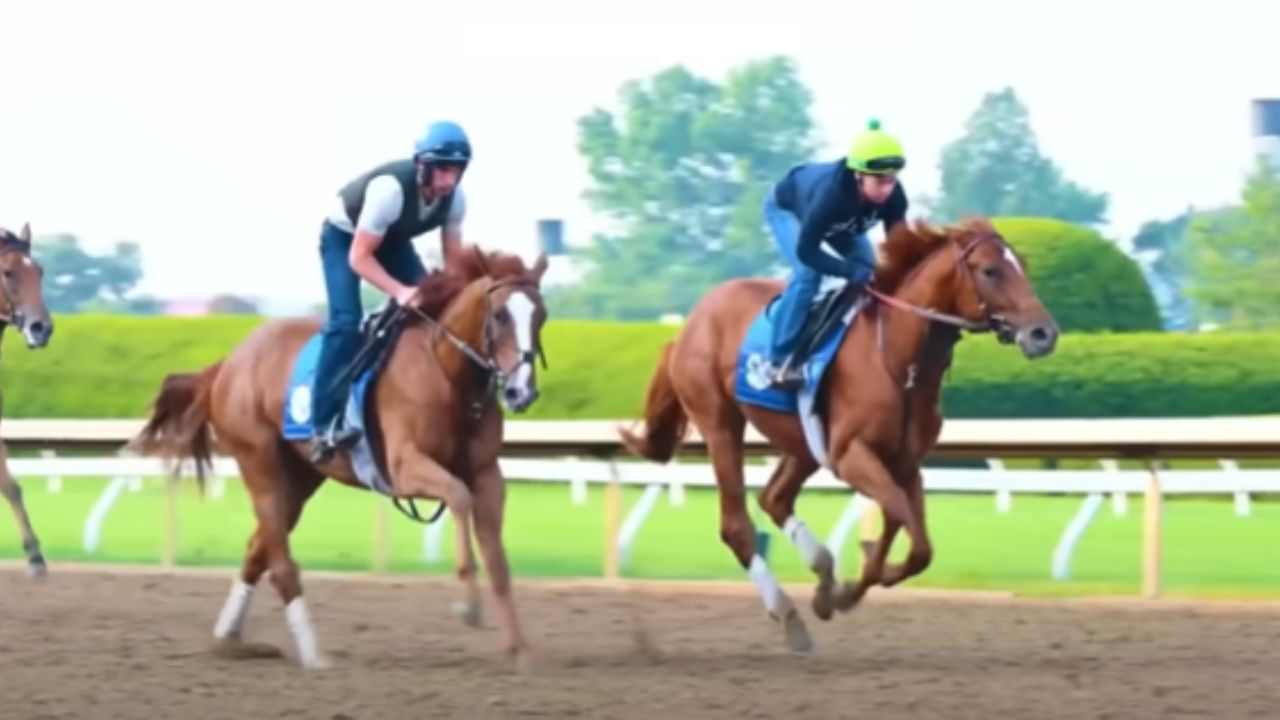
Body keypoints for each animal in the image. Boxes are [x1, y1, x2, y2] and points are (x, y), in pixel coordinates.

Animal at [124, 243, 550, 671]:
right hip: (258, 459)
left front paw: (522, 651)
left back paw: (229, 637)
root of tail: (227, 363)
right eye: (500, 315)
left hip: (301, 478)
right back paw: (313, 655)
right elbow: (459, 497)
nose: (522, 393)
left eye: (541, 315)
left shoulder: (487, 474)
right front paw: (469, 606)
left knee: (258, 547)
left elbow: (498, 561)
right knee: (280, 561)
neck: (447, 372)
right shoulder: (404, 466)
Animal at [619, 215, 1059, 653]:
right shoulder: (851, 455)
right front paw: (855, 579)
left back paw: (823, 569)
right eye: (989, 270)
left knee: (774, 498)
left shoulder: (905, 462)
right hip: (720, 424)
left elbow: (918, 545)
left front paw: (845, 587)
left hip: (802, 444)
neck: (898, 360)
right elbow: (900, 517)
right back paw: (789, 614)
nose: (1044, 334)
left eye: (1022, 264)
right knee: (737, 525)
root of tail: (689, 323)